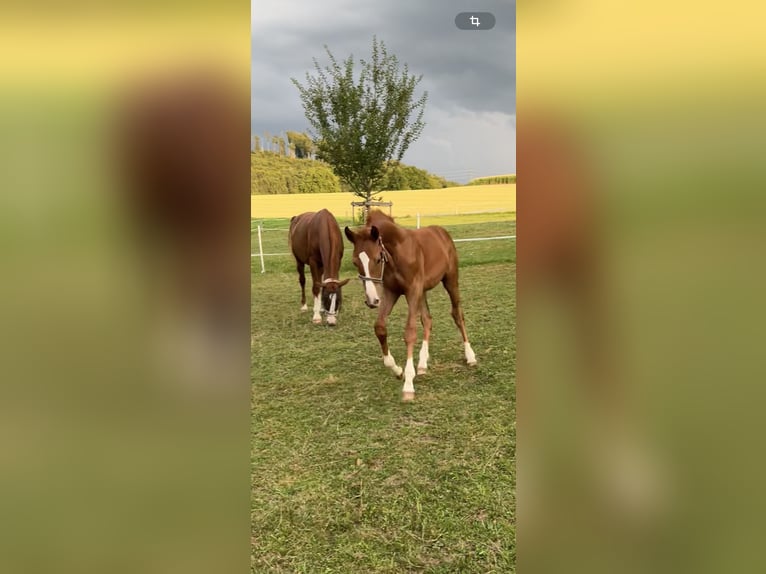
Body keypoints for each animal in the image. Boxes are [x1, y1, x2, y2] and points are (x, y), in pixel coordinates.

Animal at [344, 209, 476, 402]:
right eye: (355, 262)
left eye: (377, 259)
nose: (371, 300)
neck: (397, 253)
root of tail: (441, 232)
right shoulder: (392, 292)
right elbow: (380, 327)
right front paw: (398, 370)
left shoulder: (412, 291)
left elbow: (410, 332)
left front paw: (408, 385)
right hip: (423, 291)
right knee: (427, 319)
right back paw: (422, 364)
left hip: (450, 281)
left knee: (457, 314)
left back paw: (470, 356)